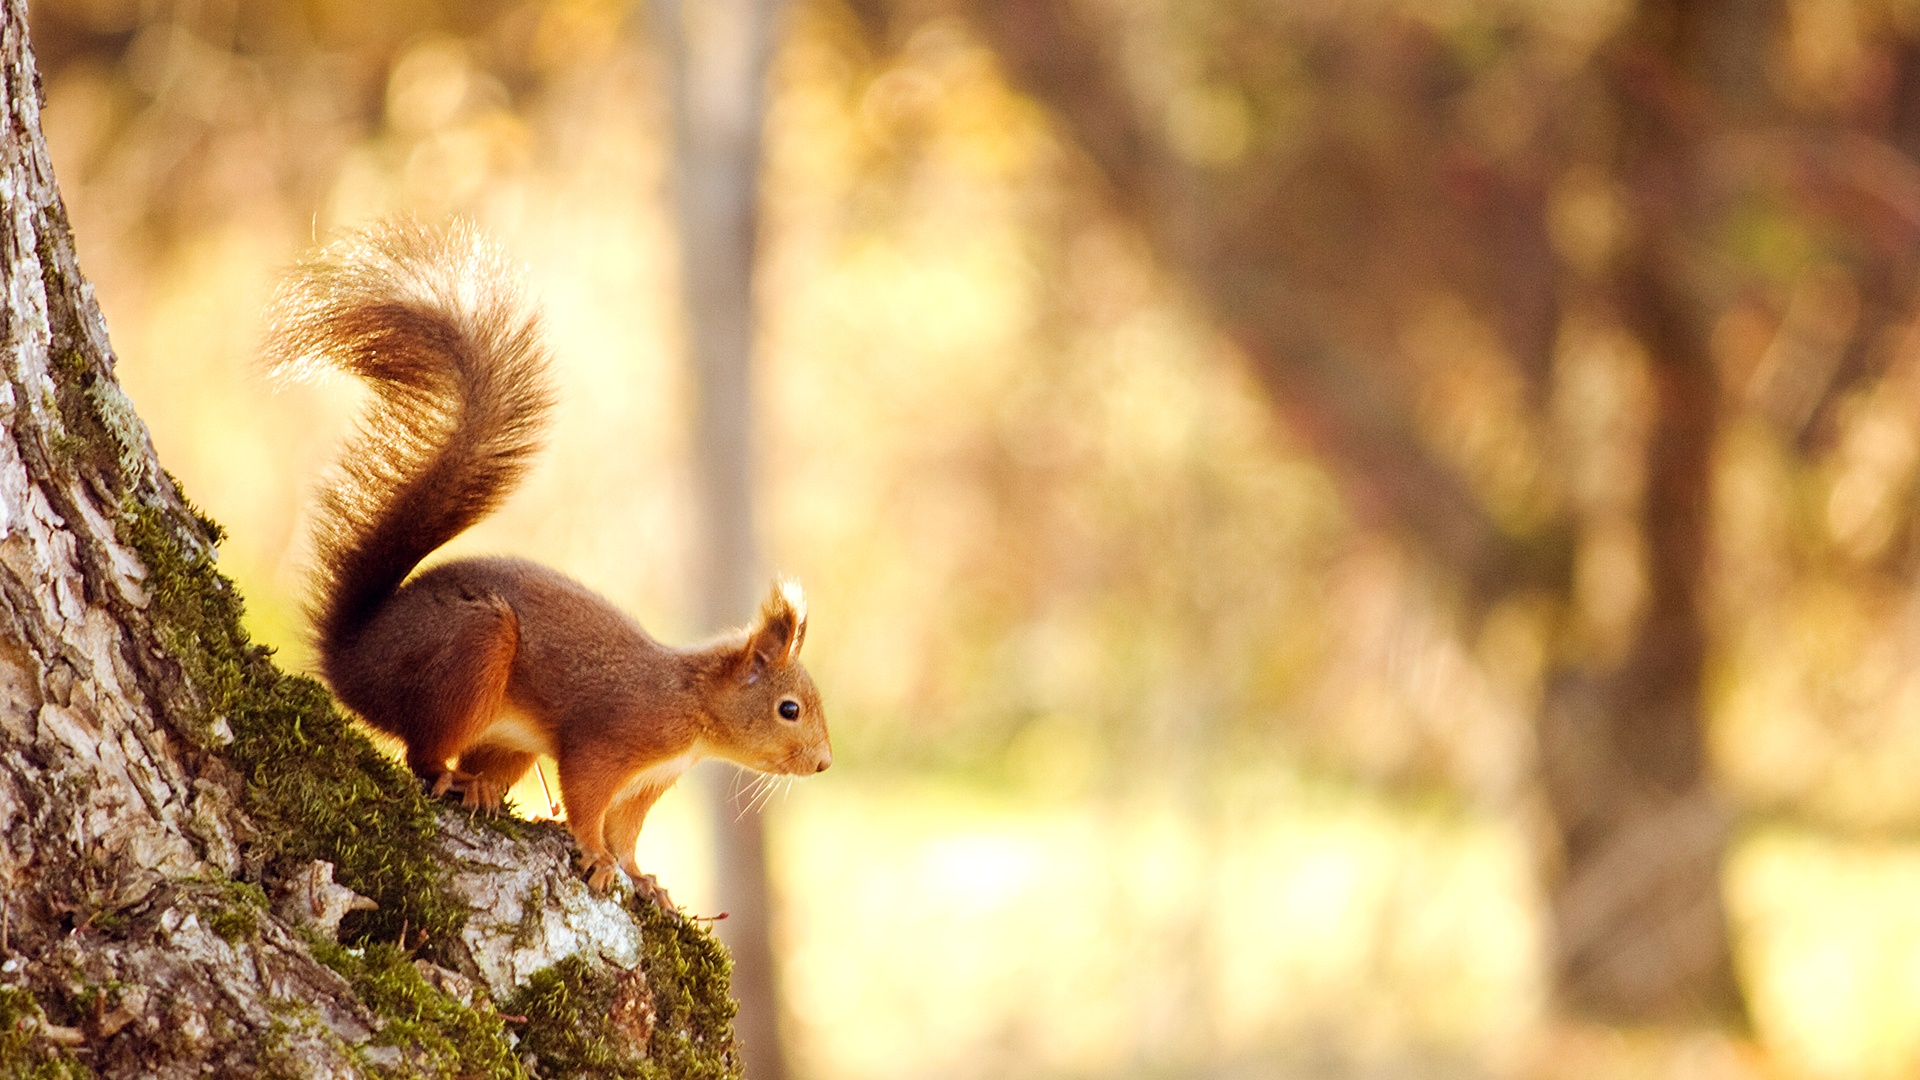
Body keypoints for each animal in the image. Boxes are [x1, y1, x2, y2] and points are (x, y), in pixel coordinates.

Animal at [265, 219, 831, 895]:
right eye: (788, 709)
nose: (824, 763)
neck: (691, 706)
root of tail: (352, 658)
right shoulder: (610, 740)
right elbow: (587, 800)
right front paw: (595, 856)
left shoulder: (649, 782)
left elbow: (628, 832)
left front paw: (644, 879)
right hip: (471, 651)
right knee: (420, 754)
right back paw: (452, 777)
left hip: (509, 738)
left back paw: (481, 786)